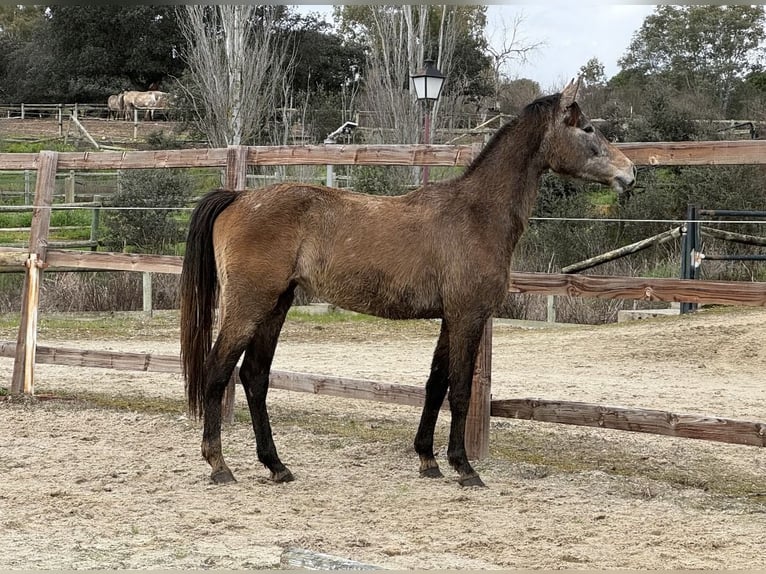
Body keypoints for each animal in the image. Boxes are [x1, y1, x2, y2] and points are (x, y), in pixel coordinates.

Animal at [178, 77, 636, 490]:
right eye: (587, 128)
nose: (629, 173)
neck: (476, 213)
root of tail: (239, 197)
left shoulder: (449, 318)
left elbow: (435, 385)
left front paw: (428, 460)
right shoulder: (468, 316)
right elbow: (461, 390)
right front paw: (464, 467)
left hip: (276, 305)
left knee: (255, 376)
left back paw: (276, 466)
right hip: (249, 305)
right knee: (218, 371)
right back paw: (220, 465)